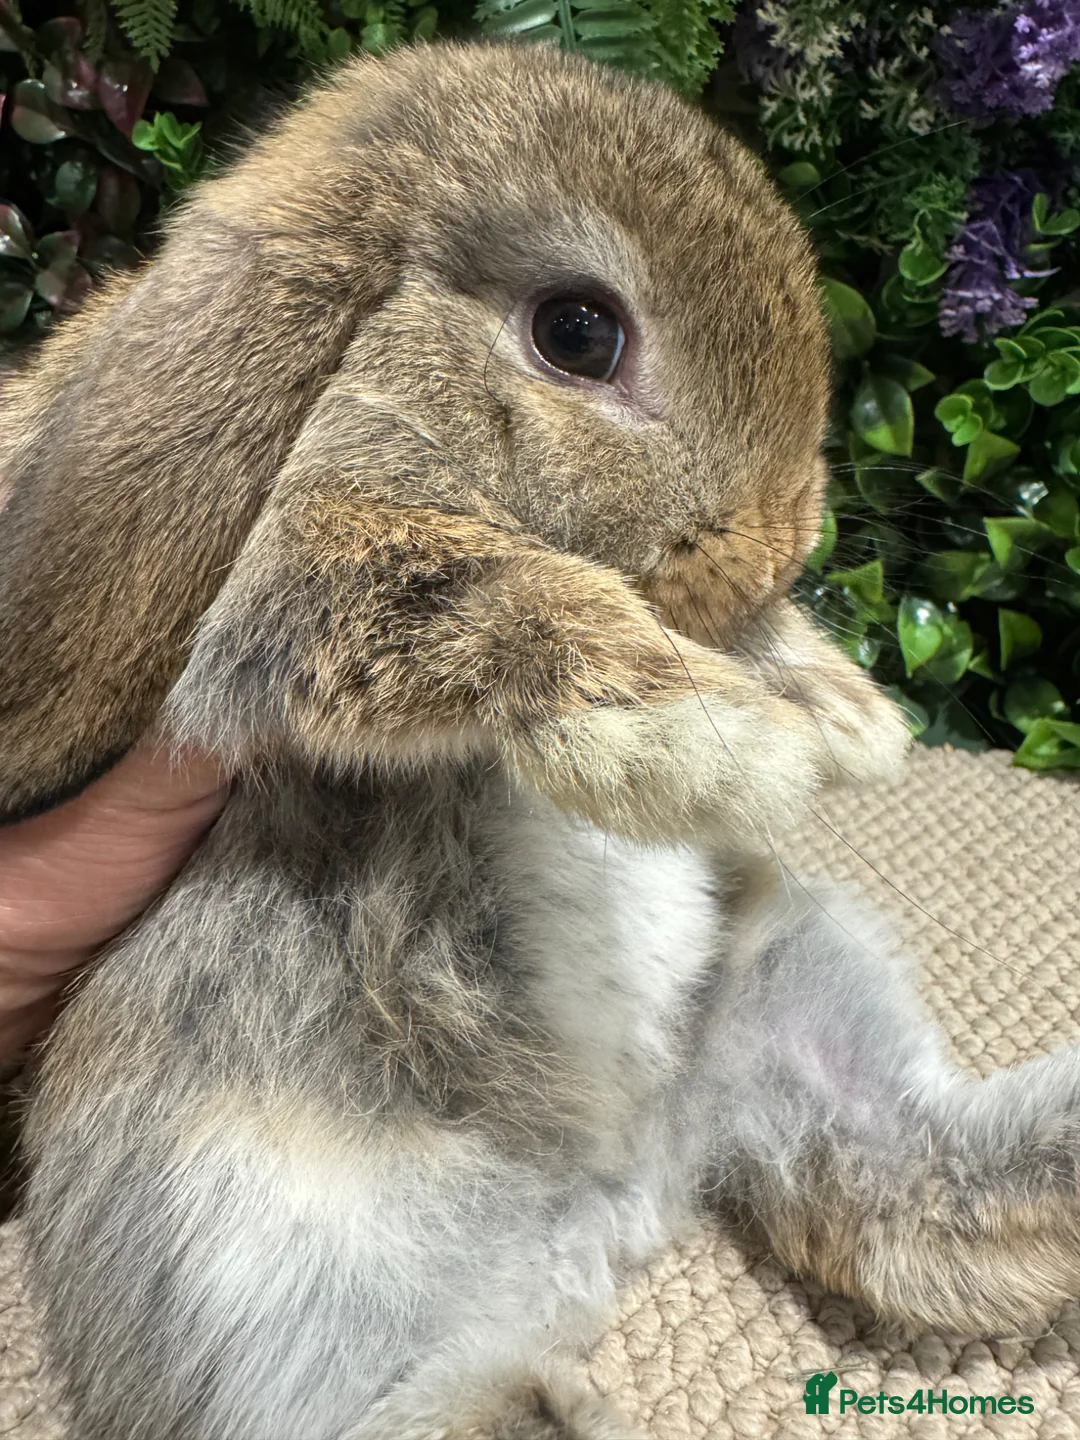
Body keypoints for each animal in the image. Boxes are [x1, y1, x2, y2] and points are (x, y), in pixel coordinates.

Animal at [2, 38, 1080, 1440]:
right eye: (579, 333)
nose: (786, 543)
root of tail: (614, 1193)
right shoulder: (315, 581)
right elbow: (493, 596)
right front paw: (732, 746)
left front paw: (845, 717)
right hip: (253, 1252)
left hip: (788, 988)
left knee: (905, 1177)